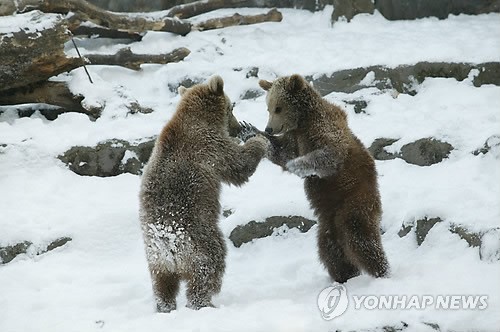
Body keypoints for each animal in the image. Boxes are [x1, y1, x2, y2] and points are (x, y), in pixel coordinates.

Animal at [137, 75, 270, 312]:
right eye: (231, 107)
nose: (237, 126)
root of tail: (168, 242)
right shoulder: (211, 148)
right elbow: (238, 164)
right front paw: (256, 139)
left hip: (155, 260)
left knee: (162, 285)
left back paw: (165, 306)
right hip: (200, 241)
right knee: (209, 268)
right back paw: (203, 303)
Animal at [242, 74, 390, 282]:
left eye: (278, 108)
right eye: (268, 108)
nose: (269, 128)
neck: (304, 119)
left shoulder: (323, 127)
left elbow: (329, 153)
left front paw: (297, 165)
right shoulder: (296, 138)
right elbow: (283, 151)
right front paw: (247, 130)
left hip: (353, 201)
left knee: (360, 238)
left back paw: (381, 271)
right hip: (328, 218)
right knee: (330, 249)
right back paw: (344, 275)